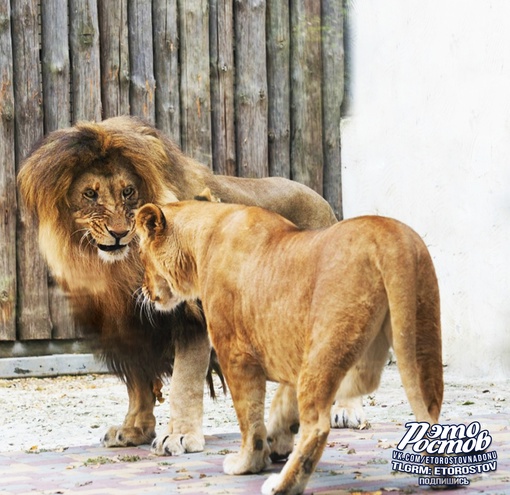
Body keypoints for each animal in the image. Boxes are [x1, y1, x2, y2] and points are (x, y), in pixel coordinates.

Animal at [17, 114, 358, 460]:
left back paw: (344, 411)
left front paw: (179, 436)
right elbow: (138, 383)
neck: (117, 270)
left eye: (128, 191)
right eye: (89, 194)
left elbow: (184, 381)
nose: (120, 232)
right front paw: (134, 430)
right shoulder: (127, 326)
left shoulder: (193, 316)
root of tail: (320, 198)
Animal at [134, 199, 442, 495]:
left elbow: (249, 417)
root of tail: (390, 236)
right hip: (420, 339)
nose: (145, 291)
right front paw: (276, 440)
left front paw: (248, 462)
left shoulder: (235, 352)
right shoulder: (293, 348)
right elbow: (283, 400)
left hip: (325, 345)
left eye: (140, 255)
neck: (202, 239)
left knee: (317, 425)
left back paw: (283, 484)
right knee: (430, 411)